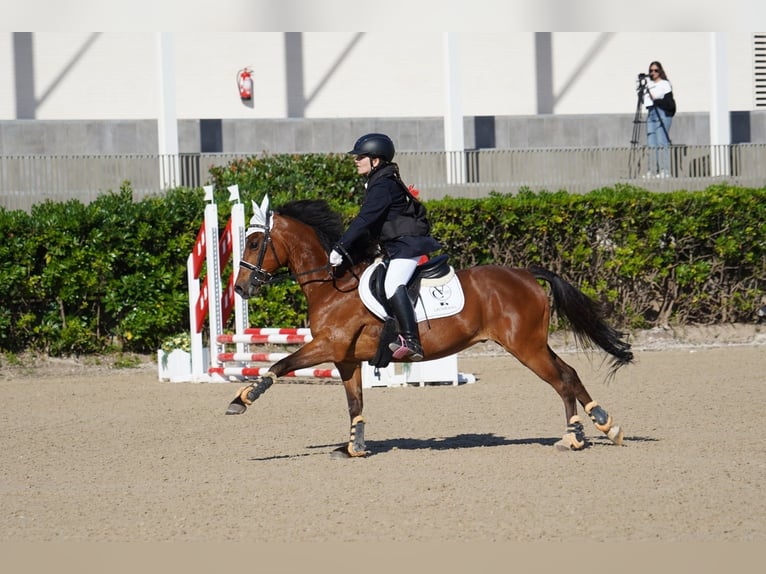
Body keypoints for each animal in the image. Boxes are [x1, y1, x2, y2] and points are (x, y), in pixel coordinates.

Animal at [225, 197, 633, 456]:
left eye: (256, 242)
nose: (240, 288)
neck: (331, 285)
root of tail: (526, 274)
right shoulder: (345, 358)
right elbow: (355, 402)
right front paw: (355, 446)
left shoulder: (328, 346)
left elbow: (280, 364)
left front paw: (241, 400)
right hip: (533, 344)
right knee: (570, 374)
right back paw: (600, 426)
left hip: (526, 348)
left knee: (561, 380)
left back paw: (579, 435)